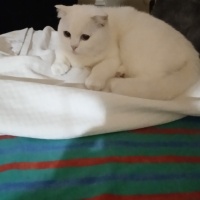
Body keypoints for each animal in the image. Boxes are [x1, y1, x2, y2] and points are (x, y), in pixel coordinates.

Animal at [51, 5, 200, 100]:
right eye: (67, 34)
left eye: (85, 37)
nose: (73, 46)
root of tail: (192, 52)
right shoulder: (60, 46)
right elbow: (61, 56)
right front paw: (58, 67)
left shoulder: (113, 58)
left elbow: (100, 68)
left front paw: (93, 82)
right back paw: (120, 73)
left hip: (132, 42)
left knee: (151, 79)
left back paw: (117, 78)